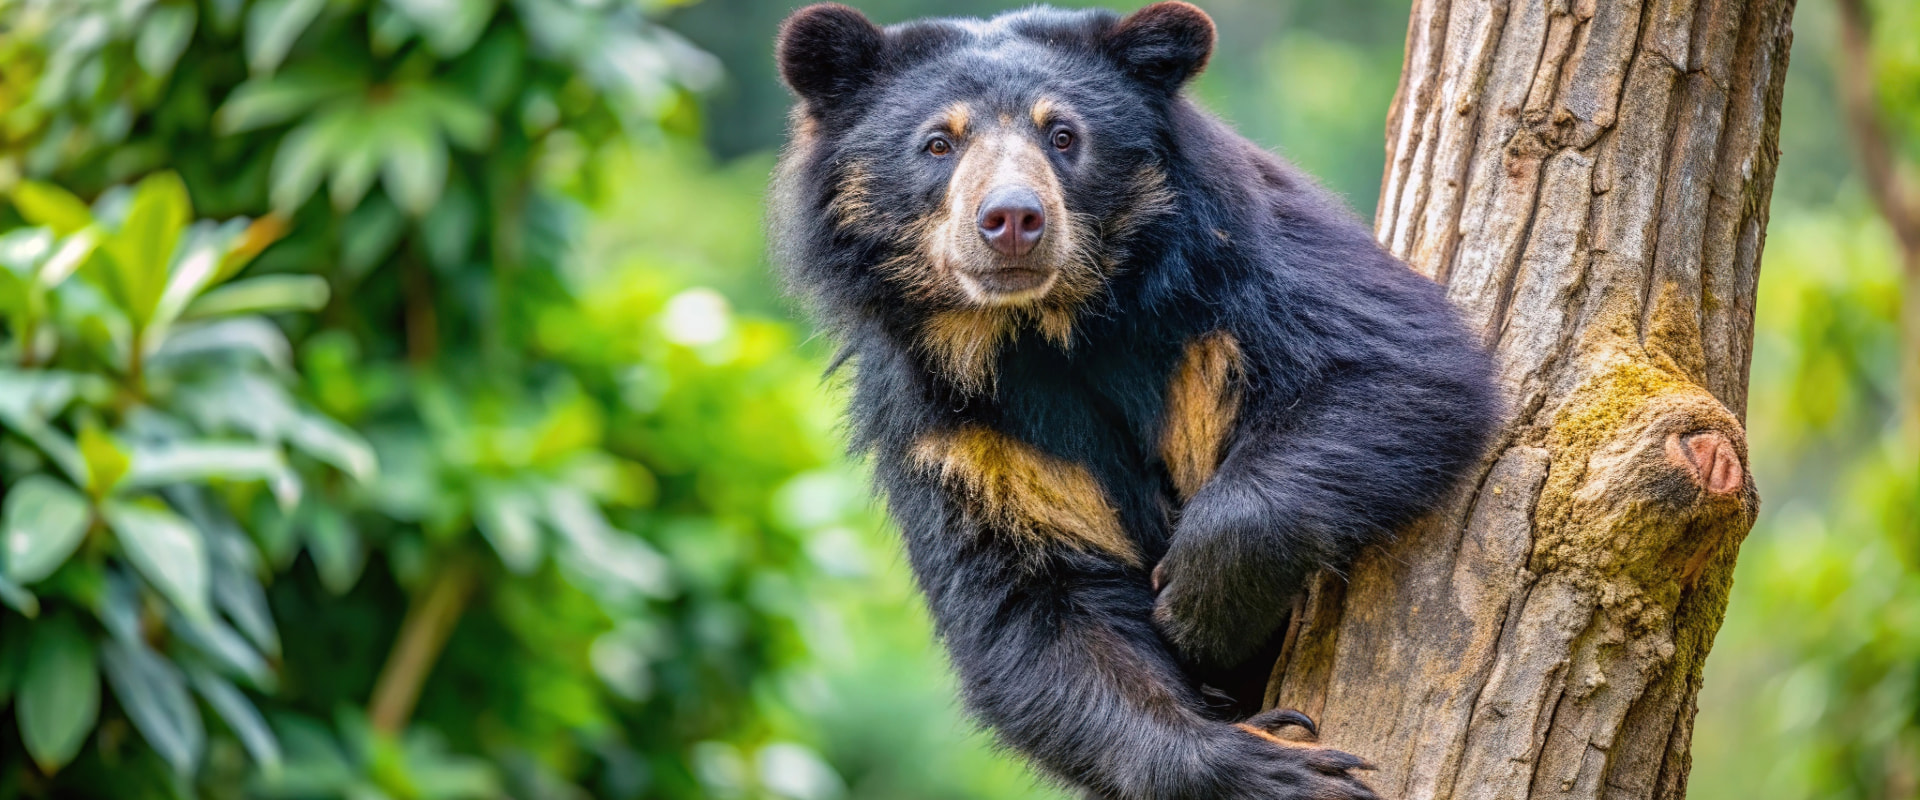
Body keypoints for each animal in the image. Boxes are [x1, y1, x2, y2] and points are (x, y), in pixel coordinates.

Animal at [768, 3, 1497, 794]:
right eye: (938, 143)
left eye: (1063, 135)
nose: (1013, 220)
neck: (1045, 327)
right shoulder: (953, 429)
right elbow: (1034, 612)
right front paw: (1272, 765)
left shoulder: (1237, 252)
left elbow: (1396, 362)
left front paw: (1197, 605)